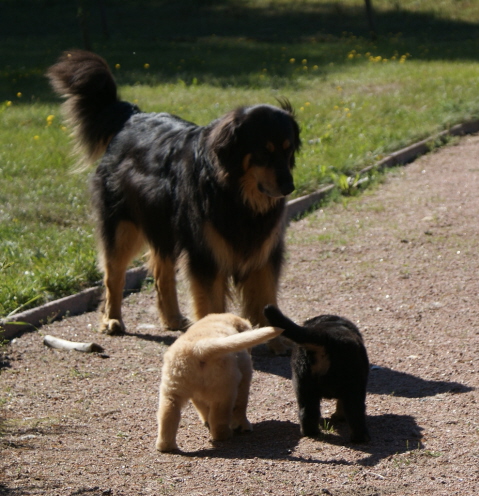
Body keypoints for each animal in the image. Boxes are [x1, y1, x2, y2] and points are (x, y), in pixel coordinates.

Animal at [46, 51, 300, 352]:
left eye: (288, 150)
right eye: (264, 151)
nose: (289, 186)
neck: (234, 194)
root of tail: (133, 117)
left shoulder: (264, 251)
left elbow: (265, 299)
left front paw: (276, 341)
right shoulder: (205, 254)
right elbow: (210, 303)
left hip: (162, 226)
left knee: (161, 270)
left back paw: (172, 318)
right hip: (123, 226)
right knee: (114, 275)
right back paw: (112, 320)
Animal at [156, 316, 284, 452]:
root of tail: (199, 348)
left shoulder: (196, 395)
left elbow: (202, 408)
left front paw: (206, 421)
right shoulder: (244, 377)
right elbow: (240, 406)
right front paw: (243, 426)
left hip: (171, 390)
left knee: (168, 415)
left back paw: (166, 446)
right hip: (224, 390)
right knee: (219, 419)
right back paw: (226, 435)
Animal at [262, 304, 372, 444]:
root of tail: (326, 337)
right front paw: (339, 416)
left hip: (302, 383)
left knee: (307, 412)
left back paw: (310, 433)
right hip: (354, 385)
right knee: (356, 413)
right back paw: (361, 438)